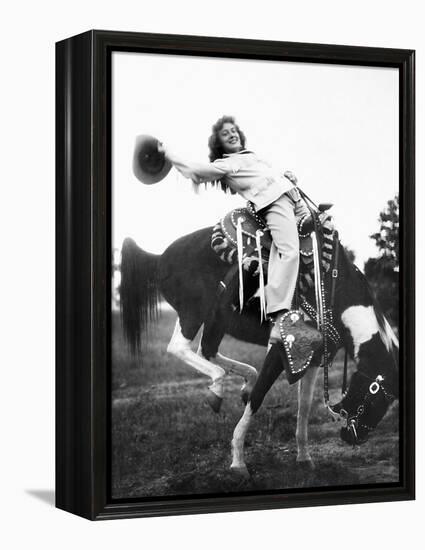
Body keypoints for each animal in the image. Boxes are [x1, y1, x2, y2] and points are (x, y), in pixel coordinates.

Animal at [119, 224, 398, 478]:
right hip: (193, 313)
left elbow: (304, 407)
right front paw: (238, 461)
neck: (330, 290)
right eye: (377, 396)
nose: (354, 438)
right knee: (180, 348)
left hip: (215, 320)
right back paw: (218, 390)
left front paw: (304, 458)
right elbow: (259, 397)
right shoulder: (280, 350)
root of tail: (160, 258)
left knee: (206, 350)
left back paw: (239, 382)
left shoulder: (314, 359)